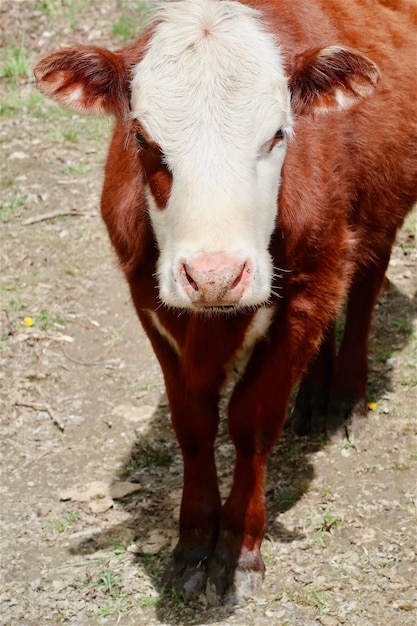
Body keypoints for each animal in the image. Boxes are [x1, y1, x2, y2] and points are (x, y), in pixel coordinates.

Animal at [33, 0, 416, 604]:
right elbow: (192, 422)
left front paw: (238, 549)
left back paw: (343, 398)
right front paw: (193, 544)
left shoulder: (309, 283)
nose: (215, 276)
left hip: (377, 209)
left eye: (279, 134)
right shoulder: (148, 294)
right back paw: (314, 395)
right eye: (141, 137)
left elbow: (252, 420)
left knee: (366, 282)